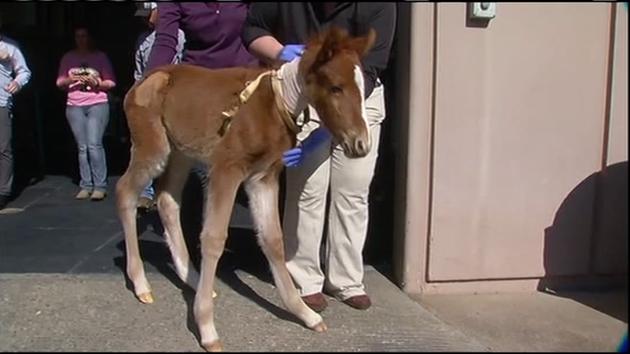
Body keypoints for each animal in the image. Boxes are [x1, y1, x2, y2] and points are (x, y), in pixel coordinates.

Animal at [115, 27, 376, 352]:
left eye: (362, 87)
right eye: (336, 88)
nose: (361, 144)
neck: (275, 103)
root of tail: (142, 81)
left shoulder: (263, 177)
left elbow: (273, 239)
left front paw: (305, 313)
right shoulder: (226, 170)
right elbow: (213, 239)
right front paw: (207, 329)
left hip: (181, 153)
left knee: (167, 200)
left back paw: (190, 277)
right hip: (153, 147)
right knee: (125, 191)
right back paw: (141, 284)